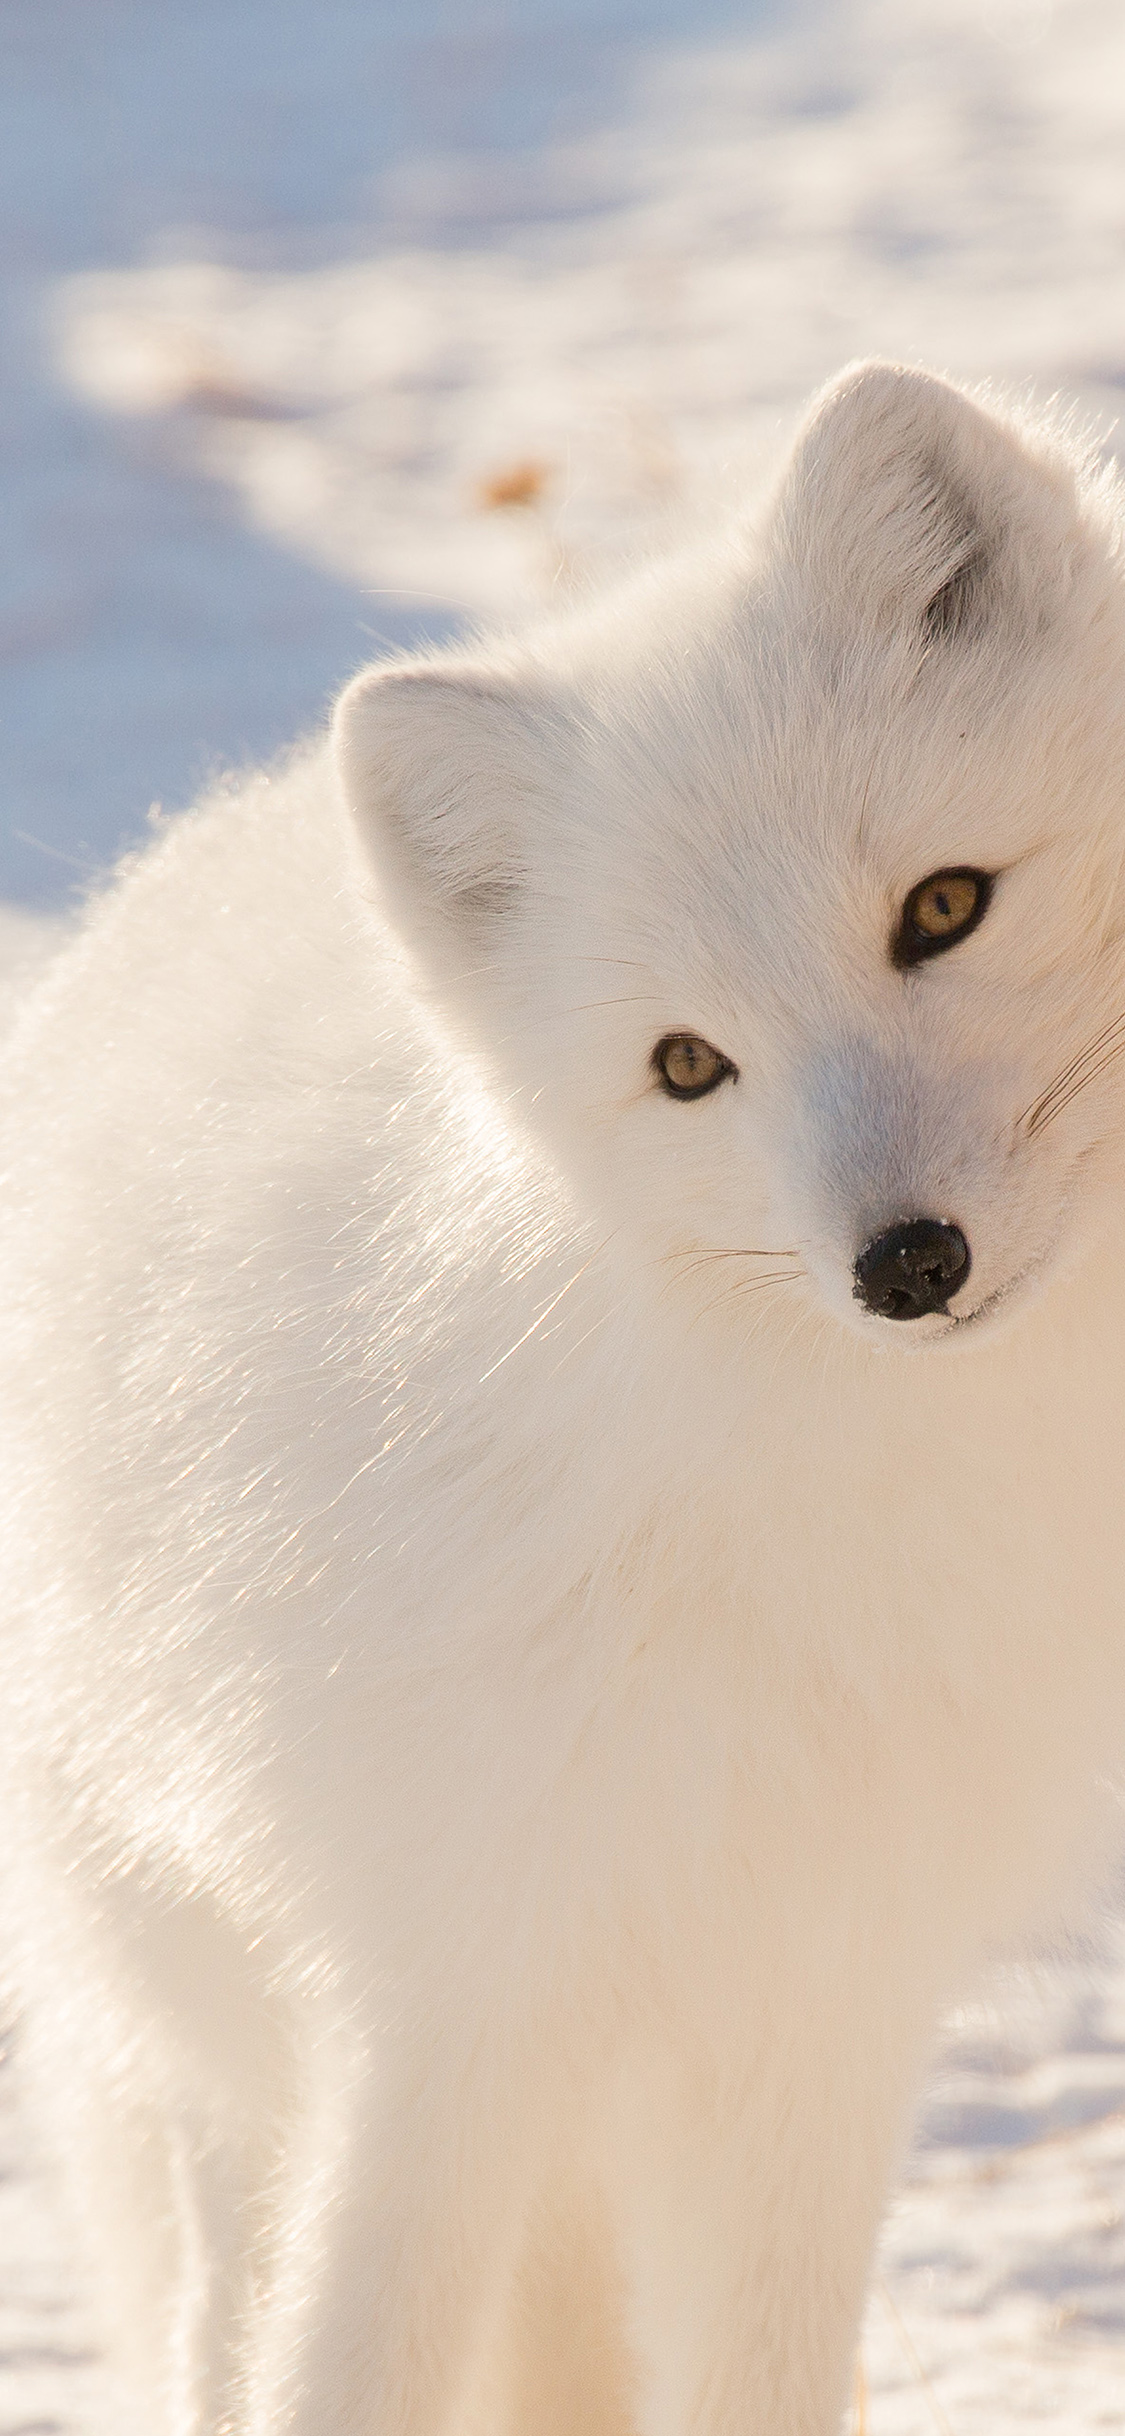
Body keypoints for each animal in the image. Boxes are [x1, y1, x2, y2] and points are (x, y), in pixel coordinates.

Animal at [2, 359, 1125, 2436]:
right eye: (690, 1066)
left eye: (945, 906)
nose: (905, 1264)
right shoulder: (447, 1996)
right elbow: (342, 2369)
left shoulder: (816, 2006)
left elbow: (765, 2384)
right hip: (226, 2018)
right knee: (227, 2309)